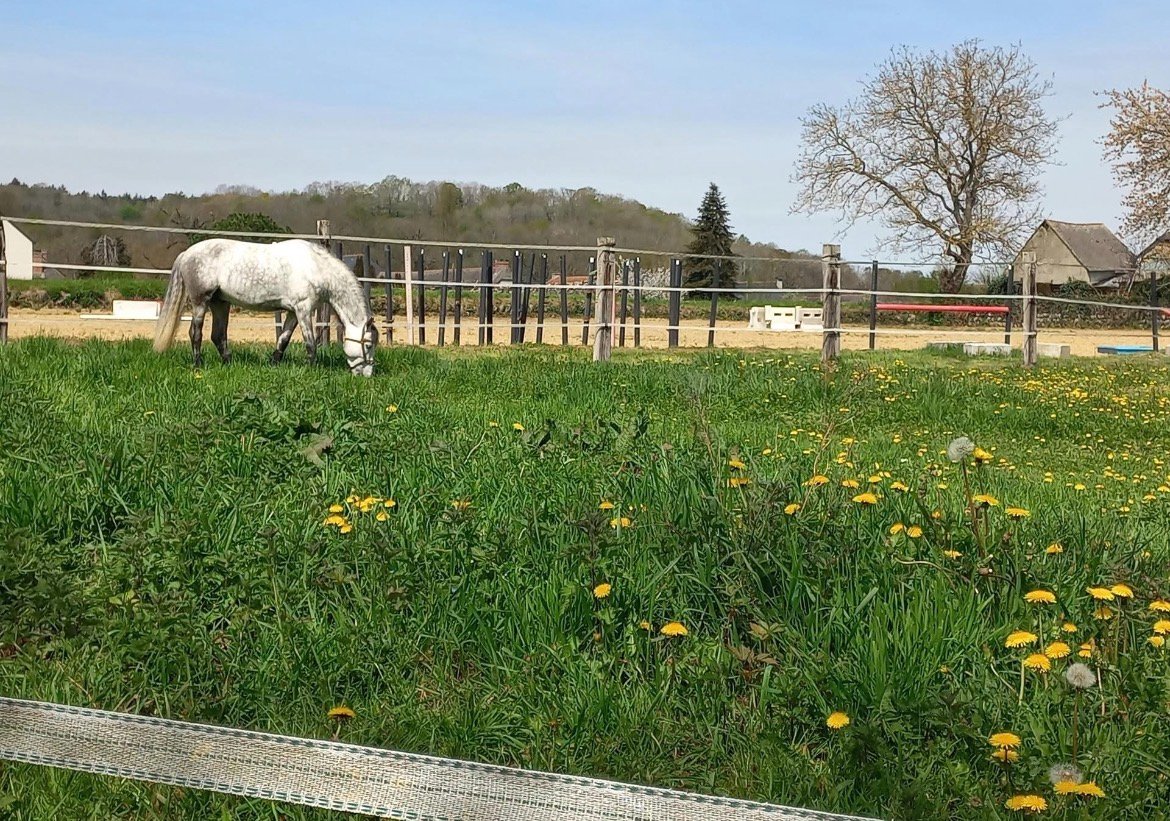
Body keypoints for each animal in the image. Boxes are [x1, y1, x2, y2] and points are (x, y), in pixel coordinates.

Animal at [152, 238, 379, 376]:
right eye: (368, 345)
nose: (366, 374)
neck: (316, 267)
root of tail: (186, 254)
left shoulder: (293, 312)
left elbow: (283, 339)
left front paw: (274, 363)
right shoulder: (303, 310)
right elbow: (310, 342)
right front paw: (311, 368)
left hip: (220, 303)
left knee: (218, 335)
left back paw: (229, 363)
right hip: (200, 302)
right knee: (195, 333)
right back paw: (198, 365)